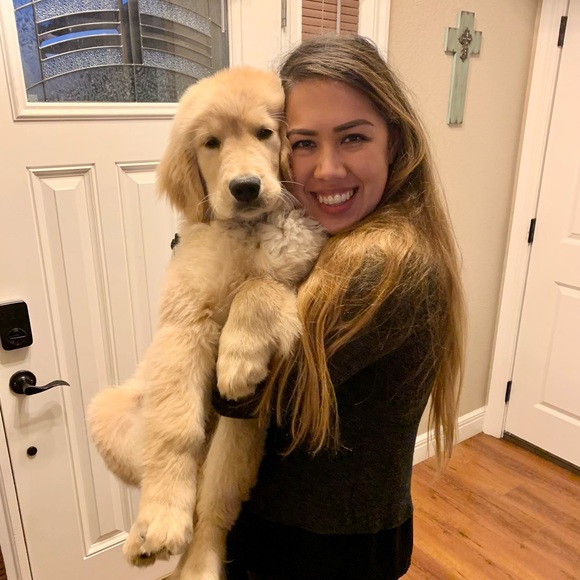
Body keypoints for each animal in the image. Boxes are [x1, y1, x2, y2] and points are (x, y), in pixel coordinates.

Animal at [87, 66, 326, 579]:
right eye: (211, 143)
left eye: (265, 133)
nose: (245, 187)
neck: (247, 231)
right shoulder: (184, 321)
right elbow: (174, 432)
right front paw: (160, 519)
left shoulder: (294, 276)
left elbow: (258, 290)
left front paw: (237, 361)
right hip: (108, 409)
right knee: (171, 463)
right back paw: (145, 533)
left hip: (240, 435)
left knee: (213, 506)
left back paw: (199, 563)